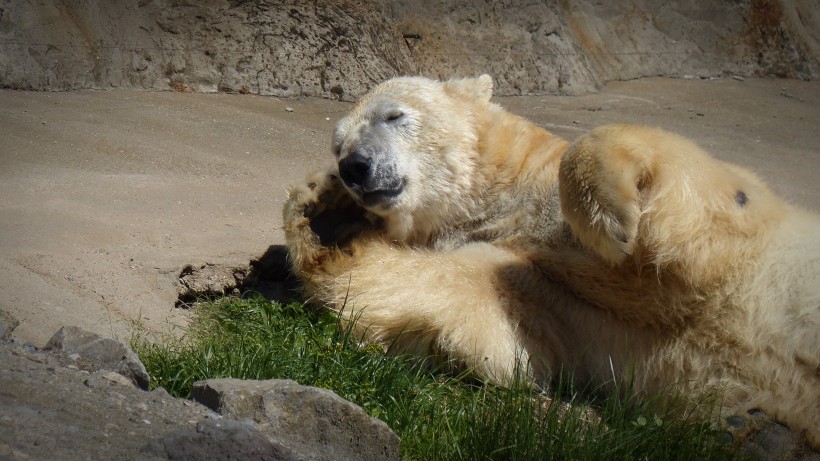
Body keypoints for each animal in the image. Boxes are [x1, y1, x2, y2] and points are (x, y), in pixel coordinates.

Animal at [284, 75, 820, 446]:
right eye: (337, 145)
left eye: (394, 115)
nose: (353, 167)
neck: (509, 197)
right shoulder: (533, 280)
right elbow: (475, 317)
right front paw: (321, 211)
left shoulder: (743, 220)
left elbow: (695, 184)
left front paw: (614, 221)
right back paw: (758, 431)